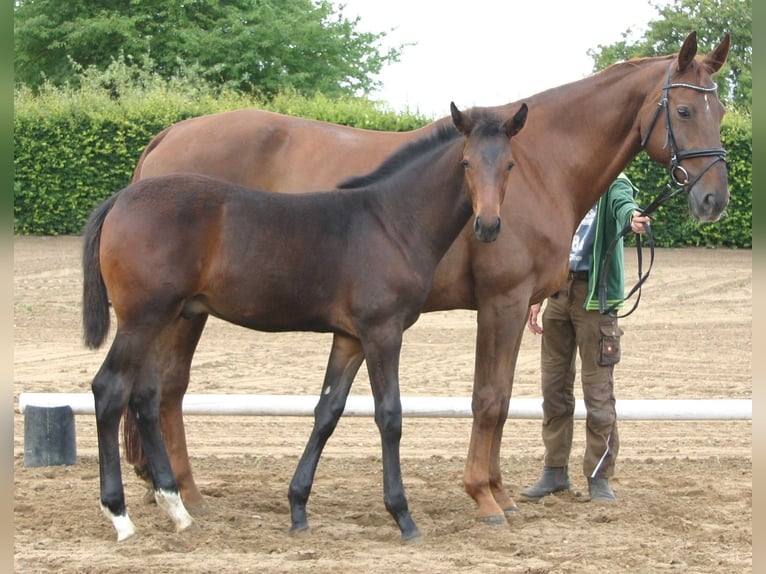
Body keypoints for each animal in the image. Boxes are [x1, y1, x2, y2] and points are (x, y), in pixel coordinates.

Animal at [82, 103, 529, 541]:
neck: (390, 223)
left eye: (509, 165)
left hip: (160, 319)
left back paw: (176, 509)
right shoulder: (382, 331)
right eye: (467, 162)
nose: (488, 226)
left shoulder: (349, 337)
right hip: (142, 319)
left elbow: (327, 411)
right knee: (110, 389)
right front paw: (403, 516)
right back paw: (120, 515)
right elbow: (389, 415)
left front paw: (298, 508)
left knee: (144, 396)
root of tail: (119, 200)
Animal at [125, 31, 731, 526]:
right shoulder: (502, 302)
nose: (713, 199)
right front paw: (484, 497)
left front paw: (500, 492)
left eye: (721, 110)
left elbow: (502, 398)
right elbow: (489, 399)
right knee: (169, 390)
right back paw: (185, 494)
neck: (536, 164)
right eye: (683, 109)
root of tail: (169, 136)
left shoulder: (517, 308)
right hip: (183, 312)